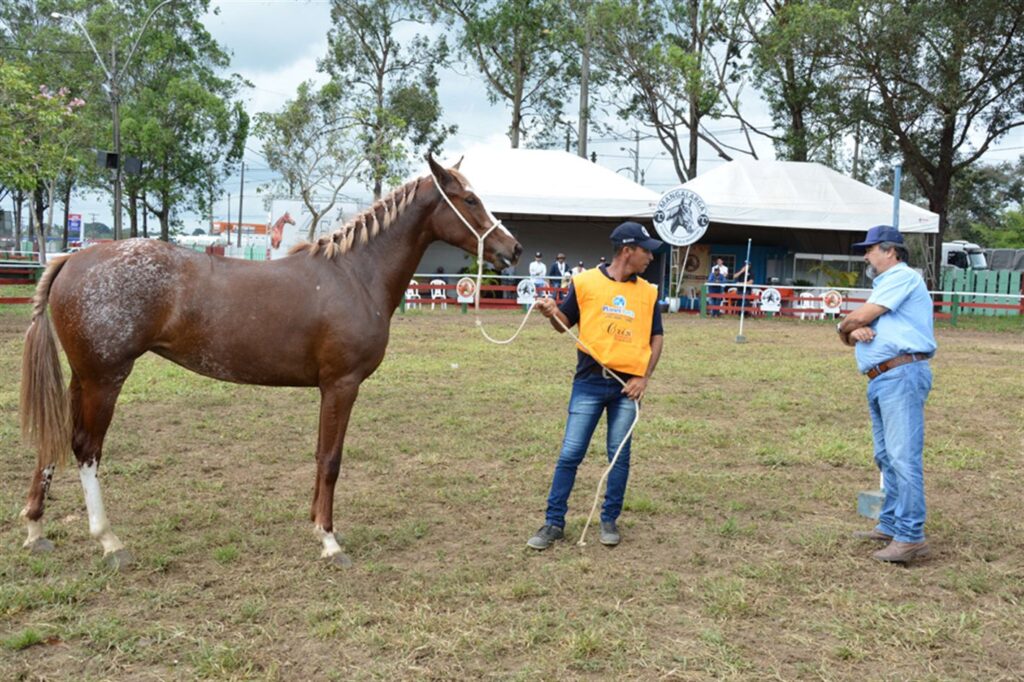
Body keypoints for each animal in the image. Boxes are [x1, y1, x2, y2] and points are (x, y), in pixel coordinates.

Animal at [18, 156, 520, 565]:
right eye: (470, 199)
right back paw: (109, 541)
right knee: (86, 449)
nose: (512, 248)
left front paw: (316, 526)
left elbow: (319, 454)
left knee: (55, 441)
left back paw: (36, 529)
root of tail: (72, 259)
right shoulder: (342, 384)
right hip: (105, 379)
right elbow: (331, 459)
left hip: (81, 378)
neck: (355, 275)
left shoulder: (330, 389)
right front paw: (330, 540)